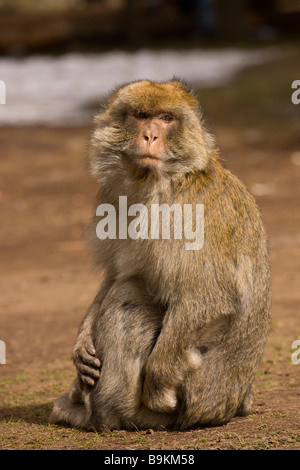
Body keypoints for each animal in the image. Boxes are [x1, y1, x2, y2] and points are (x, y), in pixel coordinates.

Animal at [49, 79, 272, 432]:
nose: (150, 136)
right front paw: (81, 343)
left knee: (129, 296)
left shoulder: (186, 213)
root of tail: (237, 404)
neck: (160, 181)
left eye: (166, 118)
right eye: (141, 116)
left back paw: (103, 415)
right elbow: (117, 273)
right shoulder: (114, 198)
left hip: (189, 401)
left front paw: (157, 384)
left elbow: (210, 296)